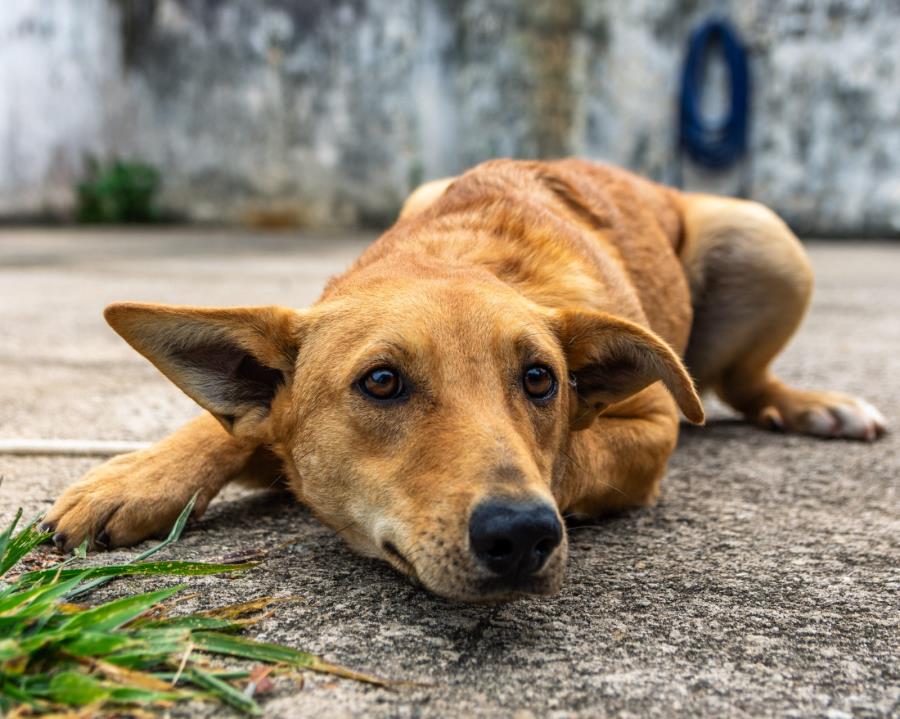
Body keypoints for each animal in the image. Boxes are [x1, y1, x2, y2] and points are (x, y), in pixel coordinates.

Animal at [42, 162, 884, 600]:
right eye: (382, 382)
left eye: (541, 378)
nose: (523, 533)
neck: (457, 255)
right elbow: (239, 427)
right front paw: (141, 476)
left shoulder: (653, 428)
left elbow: (572, 454)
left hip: (765, 236)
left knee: (745, 380)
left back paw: (815, 406)